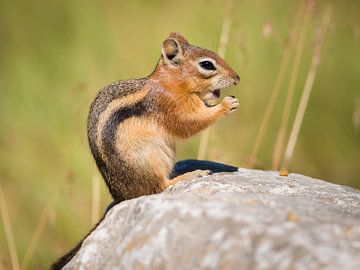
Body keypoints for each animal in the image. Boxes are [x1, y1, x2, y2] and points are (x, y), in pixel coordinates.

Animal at [51, 32, 239, 268]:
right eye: (207, 64)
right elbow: (189, 123)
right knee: (160, 187)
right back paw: (190, 174)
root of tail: (124, 196)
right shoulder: (170, 105)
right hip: (152, 156)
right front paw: (226, 105)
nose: (237, 78)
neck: (170, 83)